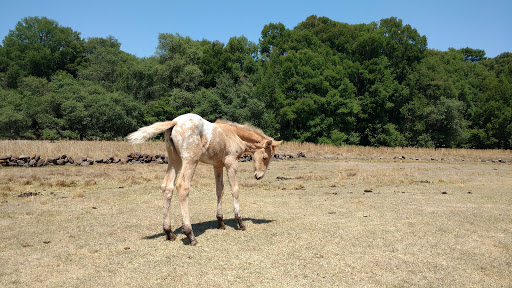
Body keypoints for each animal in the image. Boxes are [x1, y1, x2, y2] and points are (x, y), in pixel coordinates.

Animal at [126, 112, 282, 245]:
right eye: (265, 157)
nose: (259, 176)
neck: (233, 134)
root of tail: (175, 122)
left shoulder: (217, 165)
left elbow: (219, 190)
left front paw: (221, 223)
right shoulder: (231, 162)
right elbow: (235, 190)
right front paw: (240, 223)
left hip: (174, 160)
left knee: (167, 187)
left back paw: (169, 232)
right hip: (190, 160)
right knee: (182, 186)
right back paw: (190, 235)